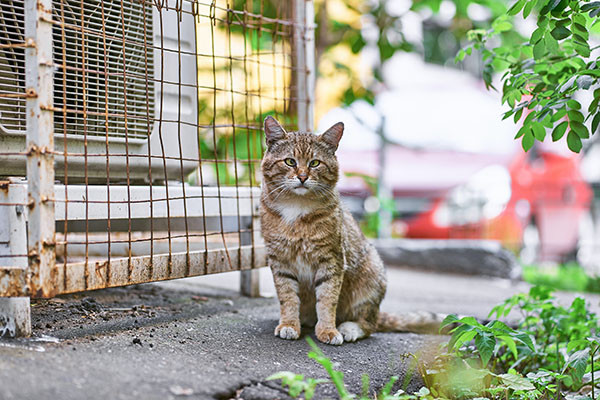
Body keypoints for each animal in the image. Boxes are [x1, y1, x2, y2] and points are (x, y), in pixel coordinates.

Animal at [258, 115, 440, 344]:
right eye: (290, 161)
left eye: (315, 163)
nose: (302, 177)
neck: (296, 207)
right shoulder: (280, 261)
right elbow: (288, 297)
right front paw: (289, 324)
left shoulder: (332, 260)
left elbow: (327, 300)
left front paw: (328, 330)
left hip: (372, 276)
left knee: (369, 324)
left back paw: (349, 328)